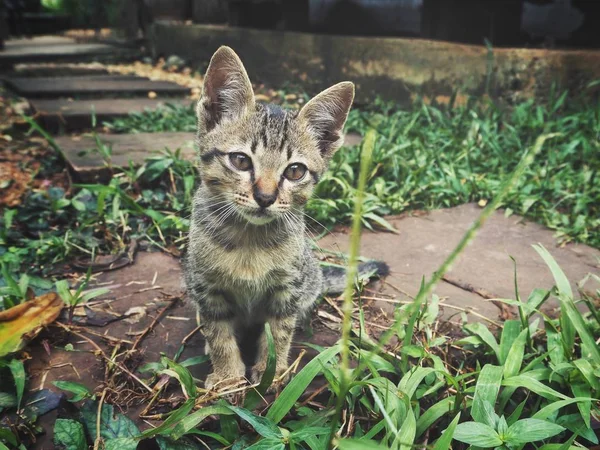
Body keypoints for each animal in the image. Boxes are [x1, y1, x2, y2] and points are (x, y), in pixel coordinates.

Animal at [184, 44, 390, 390]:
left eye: (295, 171)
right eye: (240, 161)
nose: (265, 197)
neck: (249, 240)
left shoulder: (287, 290)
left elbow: (279, 331)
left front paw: (274, 370)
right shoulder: (207, 288)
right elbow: (219, 332)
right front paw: (228, 377)